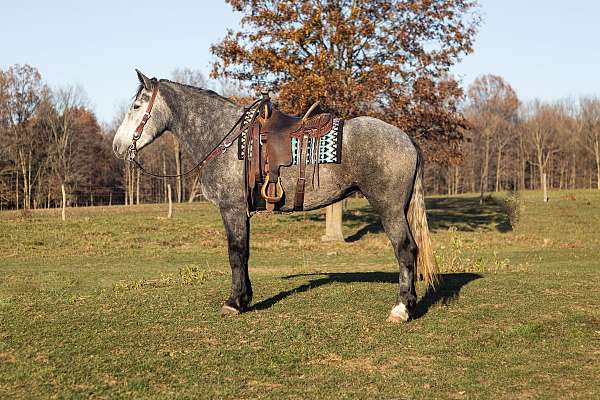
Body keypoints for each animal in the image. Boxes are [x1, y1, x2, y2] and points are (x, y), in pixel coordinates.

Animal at [113, 70, 436, 324]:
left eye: (137, 106)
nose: (117, 146)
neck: (225, 138)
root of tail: (406, 138)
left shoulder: (231, 209)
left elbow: (235, 253)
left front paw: (233, 302)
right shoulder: (242, 212)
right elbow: (244, 253)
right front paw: (245, 298)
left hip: (389, 209)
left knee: (406, 250)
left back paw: (401, 309)